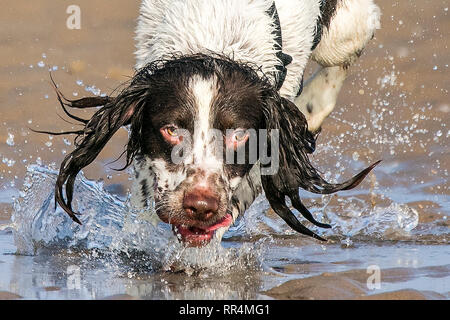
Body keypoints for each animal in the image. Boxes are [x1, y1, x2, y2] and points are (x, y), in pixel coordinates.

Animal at [48, 0, 380, 248]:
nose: (200, 205)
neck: (213, 39)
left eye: (238, 135)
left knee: (355, 39)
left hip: (343, 33)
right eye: (171, 130)